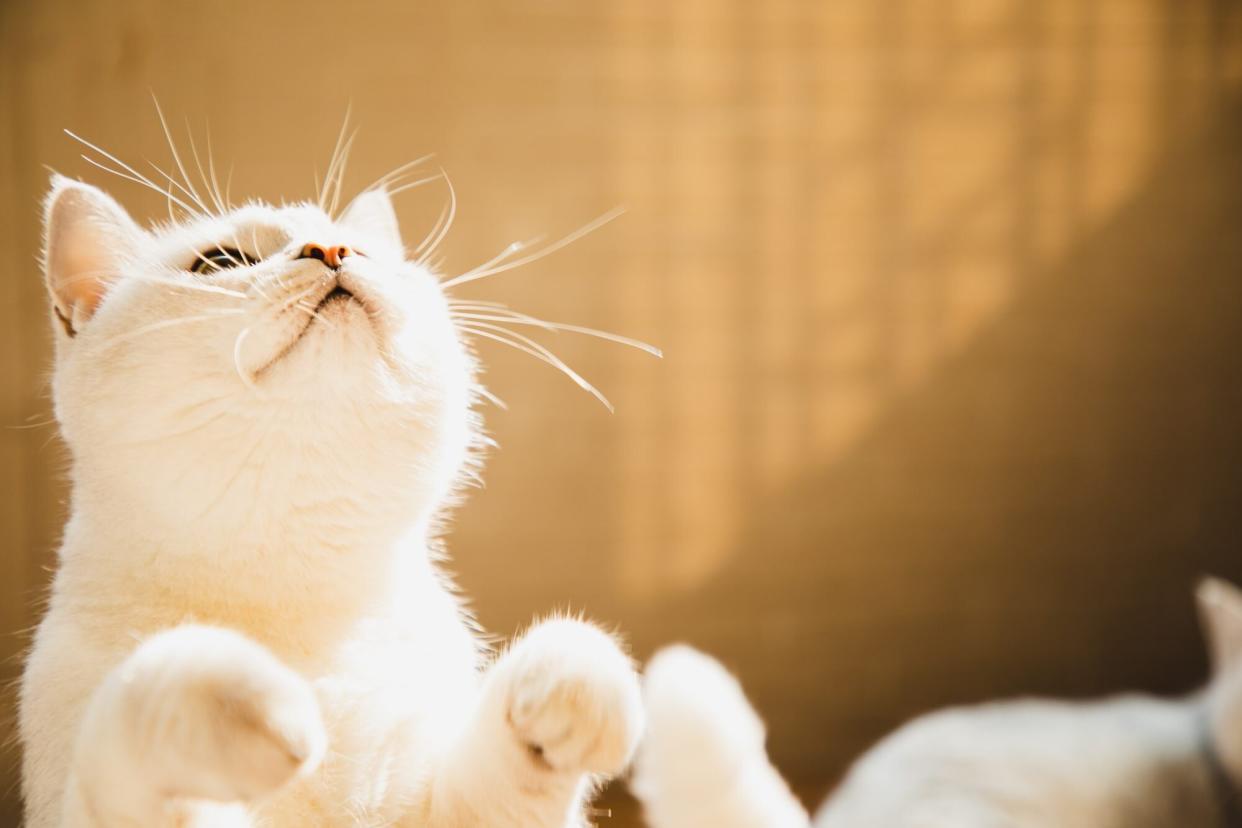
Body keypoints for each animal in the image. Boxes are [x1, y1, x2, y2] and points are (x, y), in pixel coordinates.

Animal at [19, 124, 650, 828]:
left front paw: (567, 689)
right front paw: (238, 700)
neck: (298, 583)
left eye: (364, 248)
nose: (332, 249)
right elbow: (144, 706)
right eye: (219, 262)